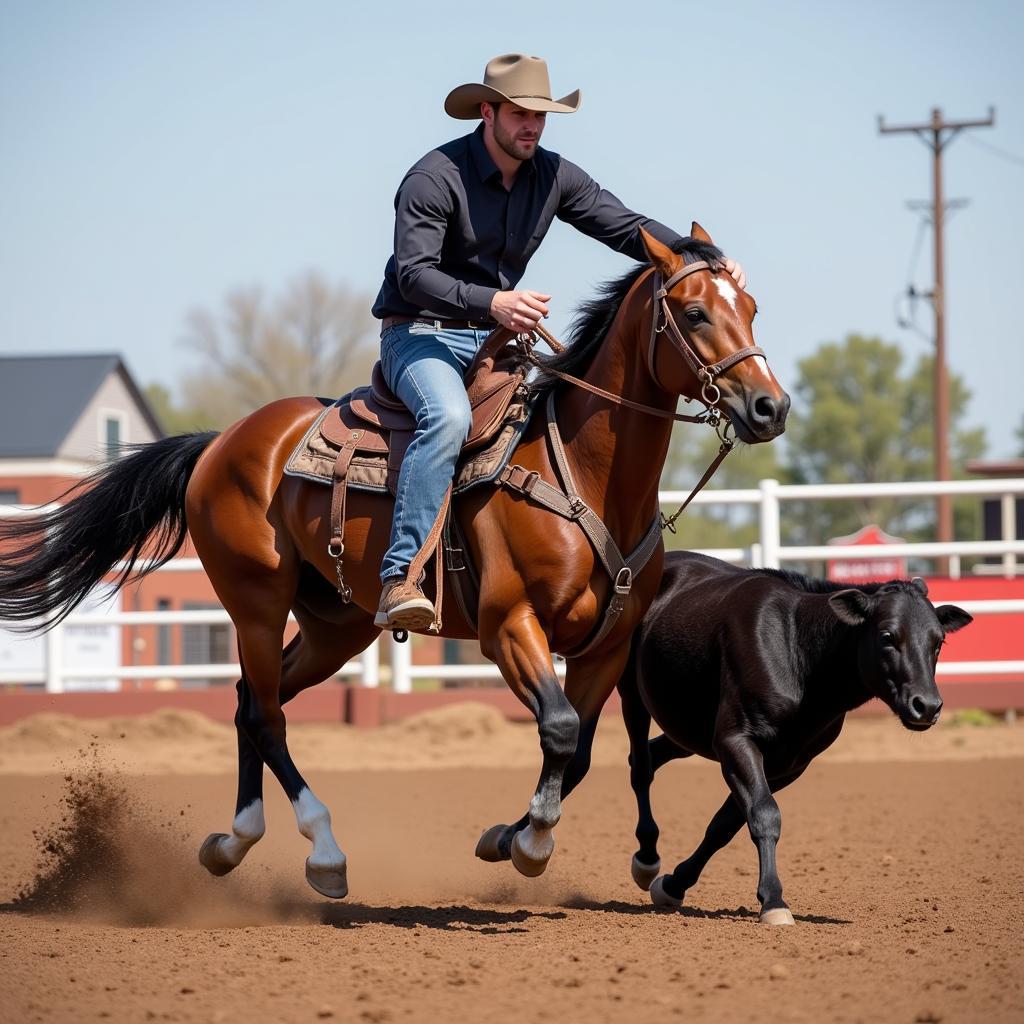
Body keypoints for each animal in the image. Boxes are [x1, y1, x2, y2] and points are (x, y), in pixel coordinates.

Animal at [0, 224, 782, 897]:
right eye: (694, 313)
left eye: (750, 307)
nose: (770, 407)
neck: (582, 475)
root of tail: (221, 441)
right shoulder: (508, 625)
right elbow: (559, 730)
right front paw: (528, 845)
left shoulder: (606, 647)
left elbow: (580, 749)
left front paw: (508, 835)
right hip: (256, 604)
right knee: (267, 715)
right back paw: (323, 851)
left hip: (334, 627)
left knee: (252, 701)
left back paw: (234, 841)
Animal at [618, 557, 970, 925]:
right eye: (887, 635)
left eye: (938, 640)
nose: (926, 705)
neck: (797, 651)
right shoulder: (736, 740)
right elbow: (764, 814)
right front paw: (773, 900)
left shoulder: (788, 763)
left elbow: (725, 825)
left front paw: (675, 883)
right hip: (632, 691)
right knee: (640, 767)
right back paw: (646, 858)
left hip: (688, 730)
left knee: (654, 754)